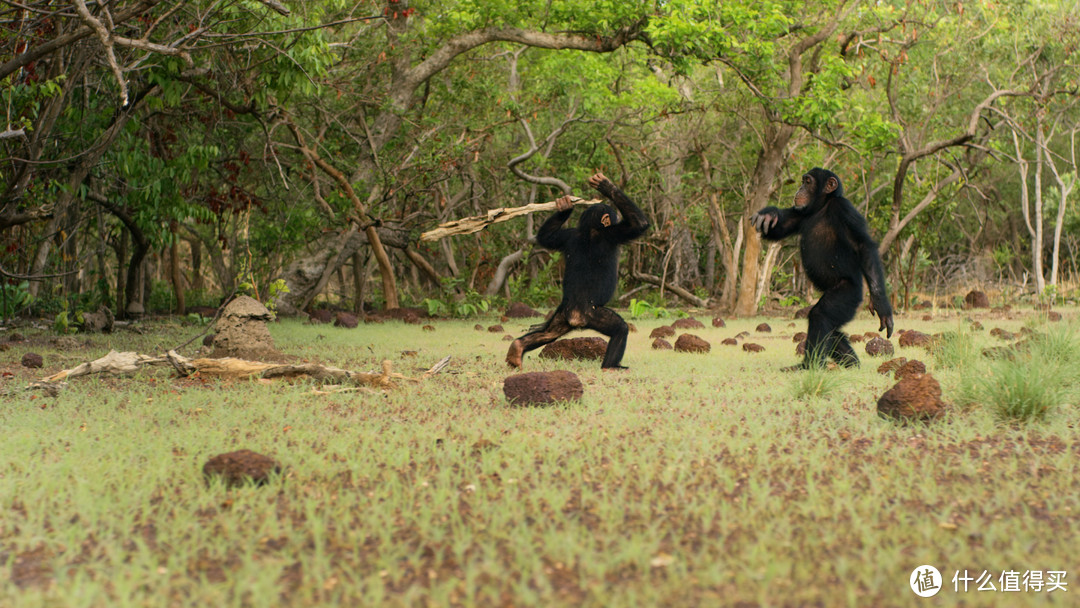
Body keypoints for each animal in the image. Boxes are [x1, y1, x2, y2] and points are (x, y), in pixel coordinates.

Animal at [505, 172, 648, 371]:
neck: (590, 230)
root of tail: (574, 315)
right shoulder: (613, 233)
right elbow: (638, 224)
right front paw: (606, 186)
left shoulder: (566, 236)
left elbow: (545, 237)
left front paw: (565, 206)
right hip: (593, 314)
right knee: (620, 329)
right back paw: (611, 366)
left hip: (561, 315)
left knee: (548, 333)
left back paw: (517, 349)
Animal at [751, 167, 894, 371]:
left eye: (808, 181)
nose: (800, 188)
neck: (822, 206)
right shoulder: (800, 213)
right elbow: (781, 227)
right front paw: (768, 215)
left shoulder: (844, 210)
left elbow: (863, 246)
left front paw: (881, 304)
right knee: (831, 329)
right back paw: (851, 362)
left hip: (848, 293)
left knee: (820, 316)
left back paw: (808, 365)